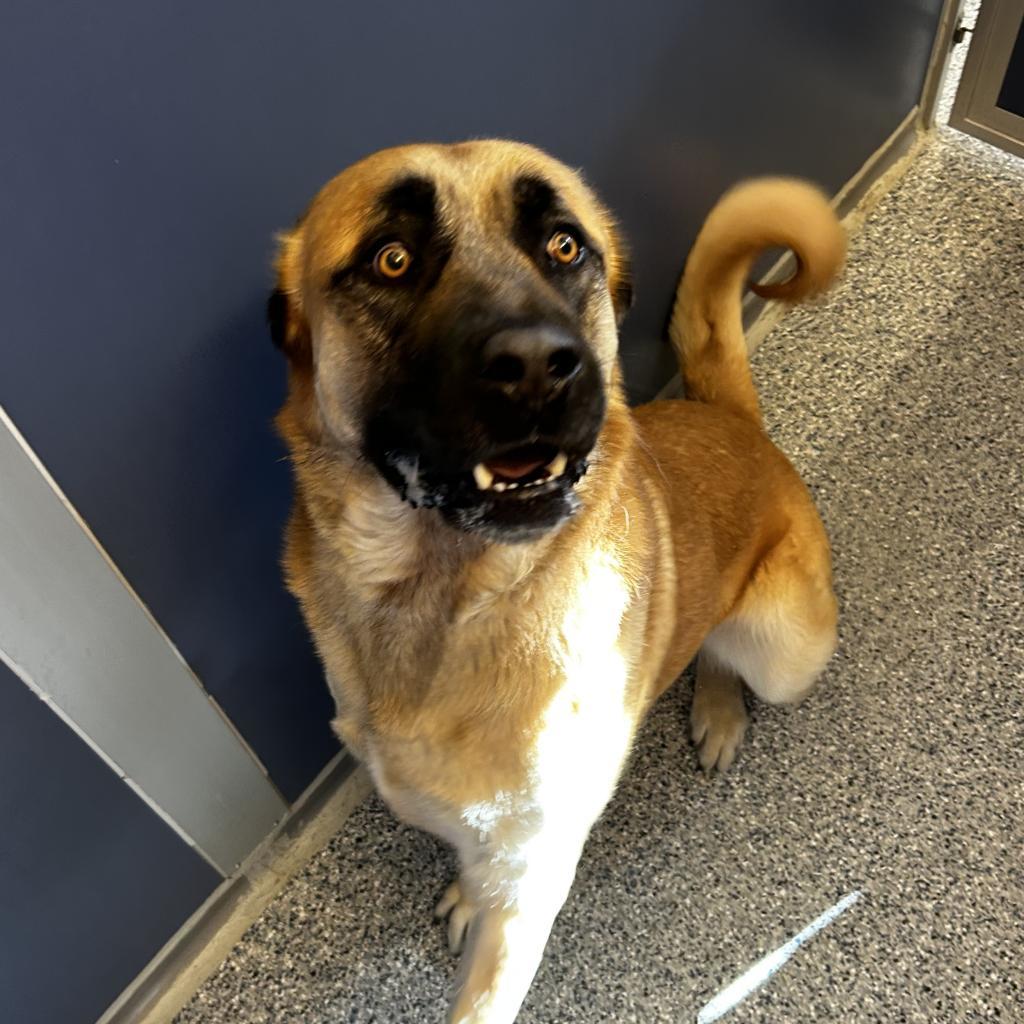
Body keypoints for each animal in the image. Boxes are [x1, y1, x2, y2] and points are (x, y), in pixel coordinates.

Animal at [268, 138, 843, 1024]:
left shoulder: (534, 876)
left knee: (724, 648)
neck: (445, 605)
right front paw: (465, 893)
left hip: (787, 649)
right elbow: (471, 856)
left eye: (565, 246)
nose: (538, 366)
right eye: (392, 258)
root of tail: (734, 421)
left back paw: (718, 705)